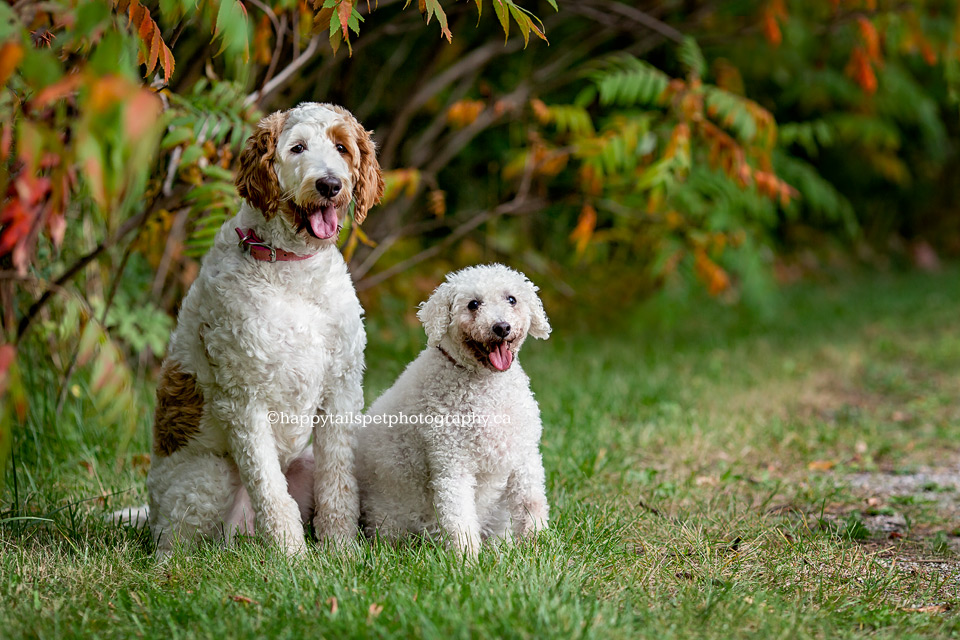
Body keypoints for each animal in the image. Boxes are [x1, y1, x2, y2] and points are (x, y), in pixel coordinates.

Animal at [136, 102, 382, 556]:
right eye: (297, 147)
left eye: (341, 146)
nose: (329, 184)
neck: (293, 271)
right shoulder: (243, 399)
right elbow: (268, 487)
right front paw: (291, 557)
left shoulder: (341, 389)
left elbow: (339, 483)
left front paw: (341, 551)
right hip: (208, 480)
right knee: (174, 547)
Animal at [358, 264, 556, 556]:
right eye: (473, 304)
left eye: (511, 299)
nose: (502, 327)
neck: (485, 385)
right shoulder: (451, 462)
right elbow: (458, 515)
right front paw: (467, 558)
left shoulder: (524, 455)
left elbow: (531, 501)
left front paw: (538, 545)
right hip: (390, 521)